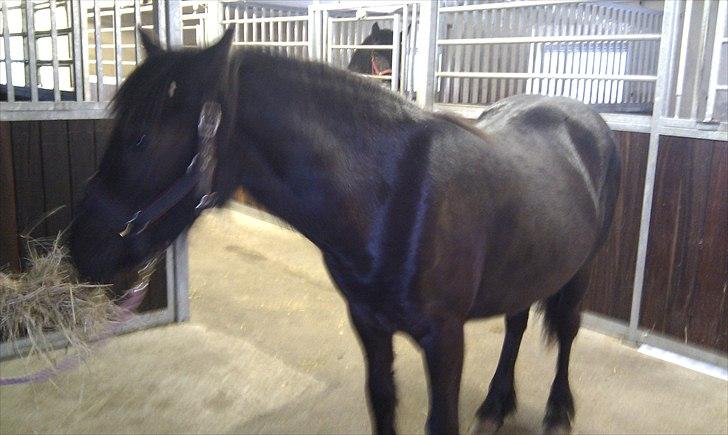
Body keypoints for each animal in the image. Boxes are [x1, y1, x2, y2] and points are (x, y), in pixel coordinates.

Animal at [69, 28, 620, 435]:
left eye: (141, 138)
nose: (80, 249)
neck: (393, 198)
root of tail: (583, 118)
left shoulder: (445, 339)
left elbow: (440, 421)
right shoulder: (369, 325)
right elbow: (382, 404)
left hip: (580, 271)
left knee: (567, 330)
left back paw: (556, 411)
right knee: (517, 323)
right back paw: (496, 404)